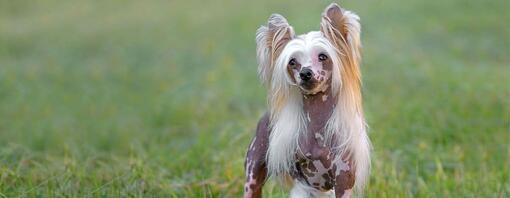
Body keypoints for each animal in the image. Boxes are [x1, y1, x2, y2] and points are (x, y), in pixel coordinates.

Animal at [244, 3, 370, 198]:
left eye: (323, 56)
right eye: (292, 62)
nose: (305, 73)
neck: (316, 123)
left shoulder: (343, 177)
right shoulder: (304, 181)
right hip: (254, 169)